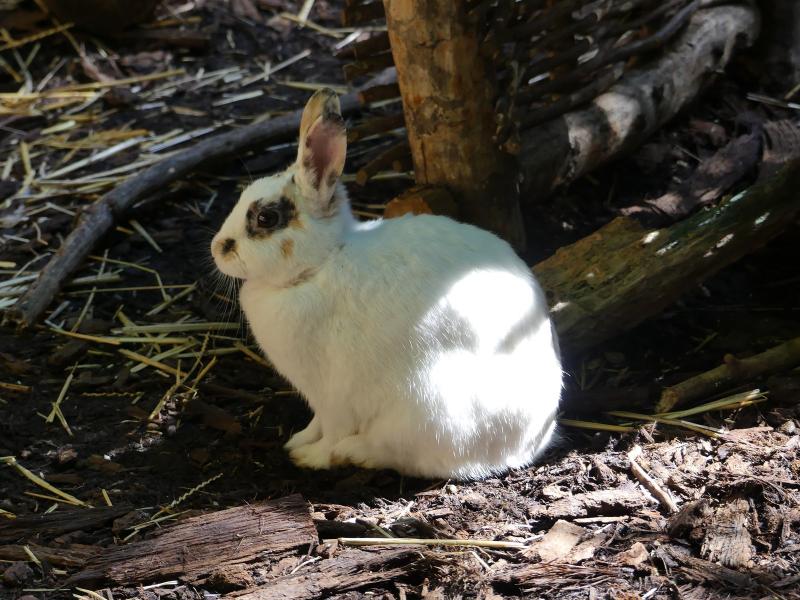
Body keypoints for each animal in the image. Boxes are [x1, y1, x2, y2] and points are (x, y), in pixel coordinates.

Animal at [211, 88, 562, 480]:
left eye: (266, 218)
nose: (217, 248)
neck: (320, 264)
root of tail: (529, 443)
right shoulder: (318, 401)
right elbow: (316, 425)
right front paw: (297, 440)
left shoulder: (334, 396)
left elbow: (331, 432)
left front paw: (309, 457)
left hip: (426, 409)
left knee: (393, 452)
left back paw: (351, 453)